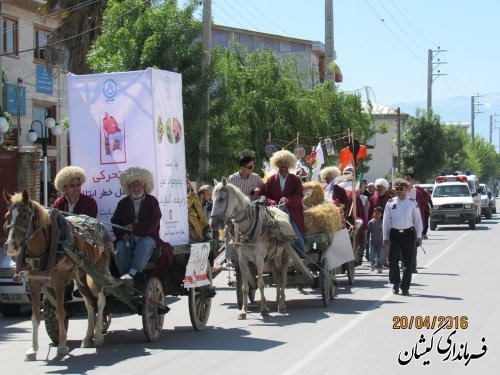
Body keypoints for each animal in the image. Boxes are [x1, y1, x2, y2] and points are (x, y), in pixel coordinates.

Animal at [3, 191, 112, 362]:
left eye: (25, 215)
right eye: (8, 216)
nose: (11, 246)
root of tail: (99, 224)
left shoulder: (59, 282)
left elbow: (60, 312)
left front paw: (62, 346)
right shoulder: (34, 284)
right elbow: (35, 316)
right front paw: (33, 349)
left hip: (98, 271)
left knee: (100, 300)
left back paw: (99, 335)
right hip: (81, 276)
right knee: (89, 303)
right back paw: (88, 337)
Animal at [209, 178, 294, 318]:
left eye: (221, 199)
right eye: (211, 199)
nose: (212, 224)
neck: (249, 229)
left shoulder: (259, 260)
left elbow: (261, 283)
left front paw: (264, 309)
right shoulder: (242, 260)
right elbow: (245, 286)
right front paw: (243, 310)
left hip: (285, 255)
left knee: (284, 279)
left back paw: (282, 305)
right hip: (272, 258)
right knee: (277, 277)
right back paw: (278, 300)